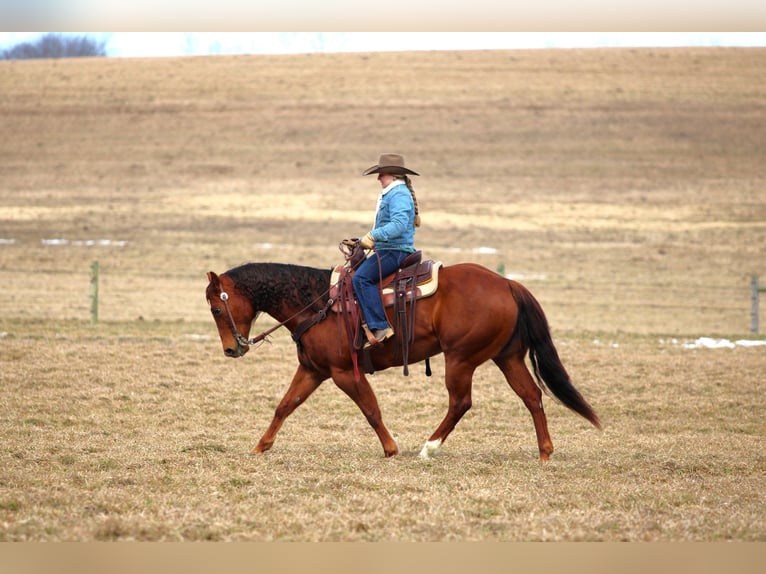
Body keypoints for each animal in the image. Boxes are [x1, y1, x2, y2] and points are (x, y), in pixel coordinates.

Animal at [205, 259, 601, 461]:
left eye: (216, 308)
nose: (231, 349)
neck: (317, 302)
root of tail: (507, 283)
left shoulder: (343, 373)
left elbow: (370, 409)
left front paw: (391, 449)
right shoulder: (313, 370)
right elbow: (285, 406)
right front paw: (261, 446)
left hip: (460, 359)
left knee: (461, 402)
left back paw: (429, 447)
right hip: (507, 358)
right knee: (532, 397)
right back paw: (545, 452)